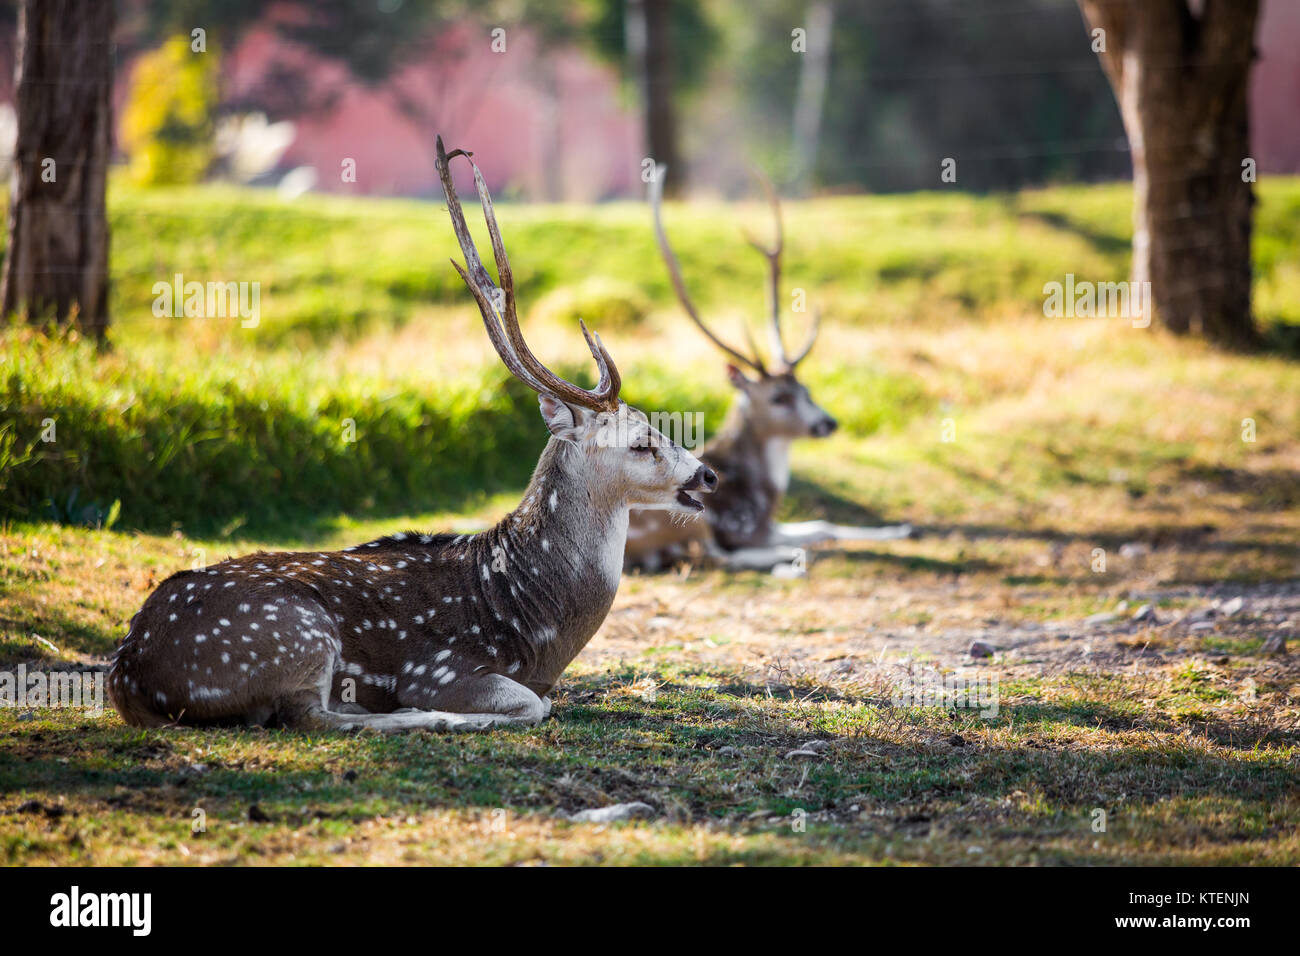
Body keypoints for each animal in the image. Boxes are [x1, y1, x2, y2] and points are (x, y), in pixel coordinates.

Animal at [109, 136, 722, 733]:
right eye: (641, 442)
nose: (709, 475)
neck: (536, 622)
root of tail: (128, 672)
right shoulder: (443, 666)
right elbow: (533, 705)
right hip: (292, 633)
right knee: (311, 717)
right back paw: (417, 716)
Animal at [621, 162, 909, 574]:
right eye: (778, 397)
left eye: (807, 389)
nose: (828, 423)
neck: (765, 498)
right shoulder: (743, 526)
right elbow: (805, 533)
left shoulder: (769, 525)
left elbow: (823, 524)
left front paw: (901, 529)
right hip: (682, 519)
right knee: (717, 557)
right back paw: (789, 562)